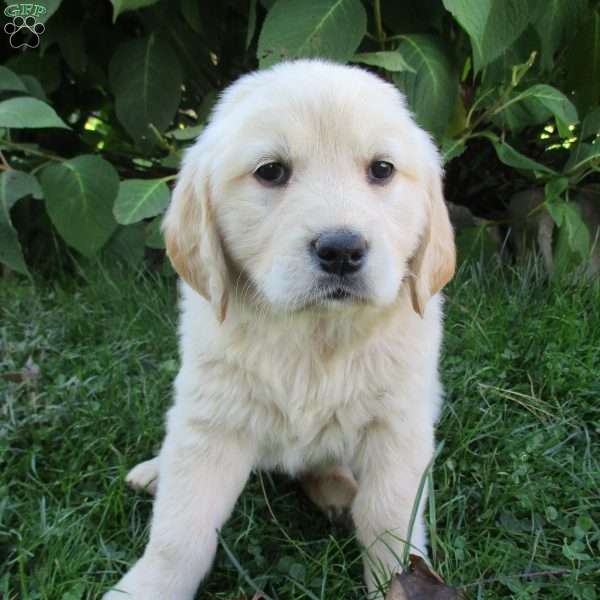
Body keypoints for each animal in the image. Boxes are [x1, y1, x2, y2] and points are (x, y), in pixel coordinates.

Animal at [104, 57, 454, 600]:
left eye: (382, 170)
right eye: (271, 172)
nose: (341, 250)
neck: (312, 335)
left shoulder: (398, 423)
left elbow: (389, 518)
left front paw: (398, 581)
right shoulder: (212, 420)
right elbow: (179, 531)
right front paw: (146, 587)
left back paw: (338, 493)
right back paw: (155, 472)